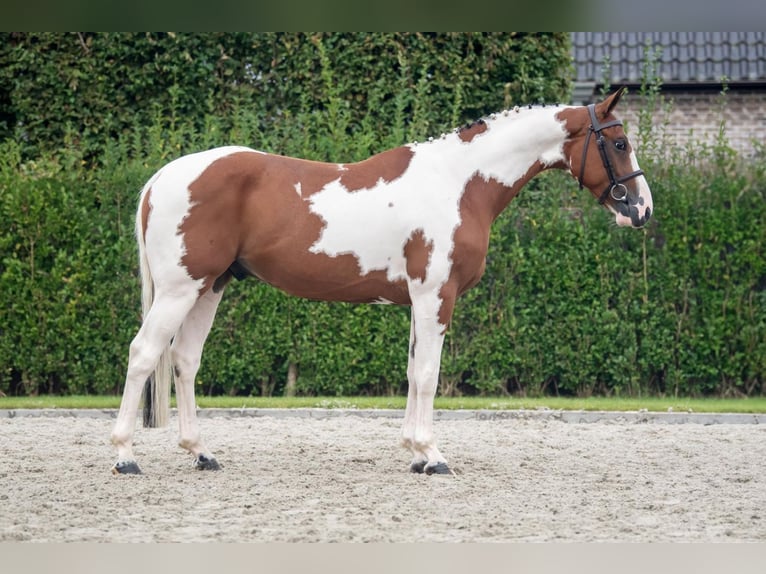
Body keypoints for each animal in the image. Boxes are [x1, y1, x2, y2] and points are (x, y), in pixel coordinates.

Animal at [112, 88, 656, 476]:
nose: (642, 209)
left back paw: (201, 453)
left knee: (184, 360)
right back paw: (125, 456)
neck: (459, 183)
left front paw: (415, 453)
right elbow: (430, 375)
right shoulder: (436, 296)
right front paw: (433, 456)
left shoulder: (419, 300)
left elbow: (414, 374)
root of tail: (160, 179)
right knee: (143, 354)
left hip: (210, 286)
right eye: (620, 143)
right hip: (181, 289)